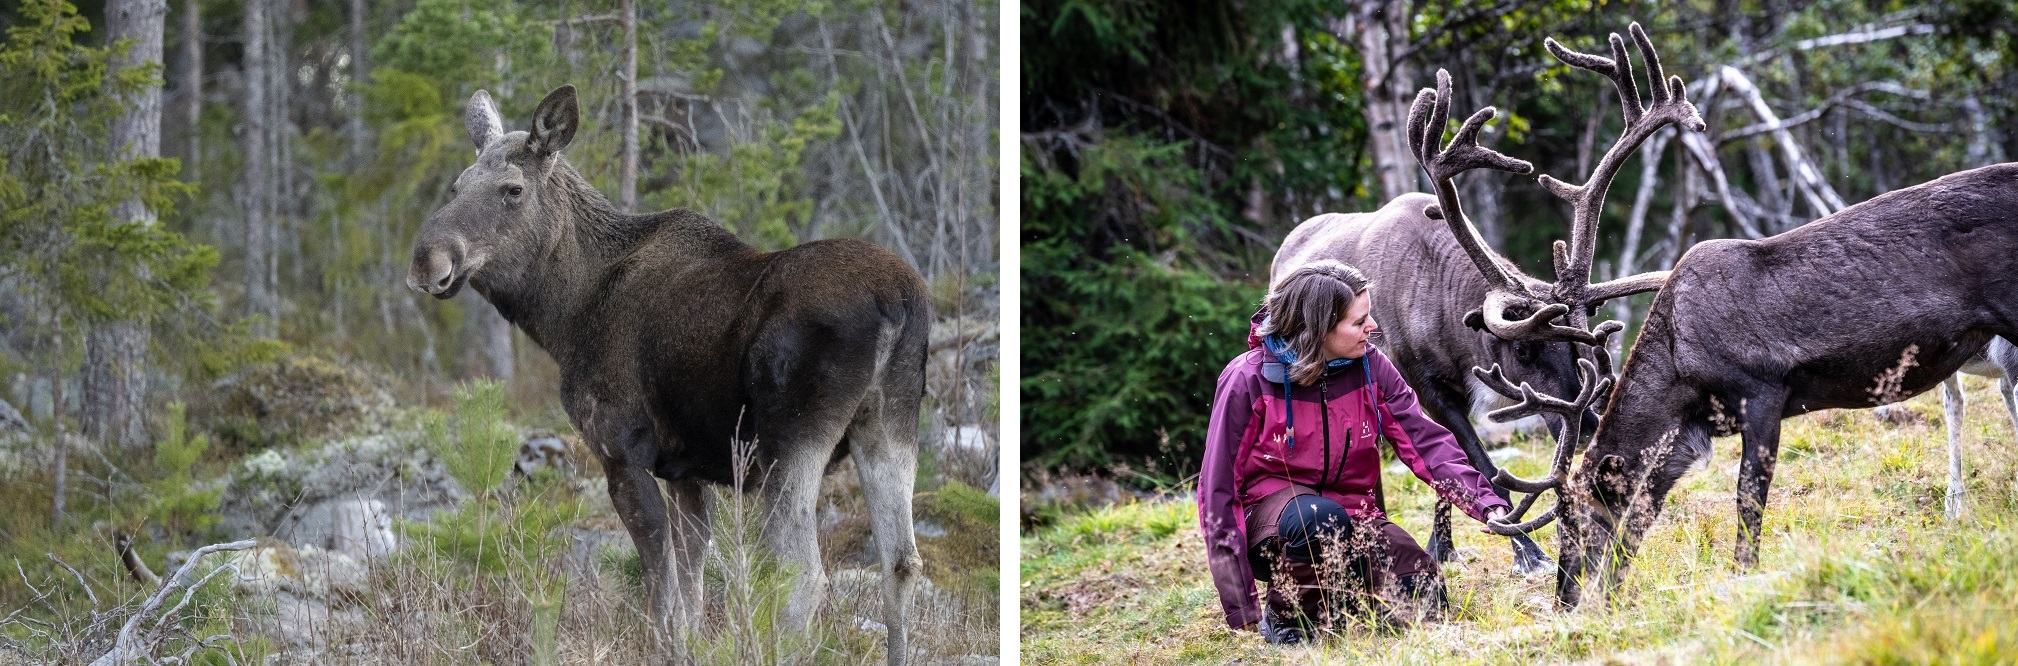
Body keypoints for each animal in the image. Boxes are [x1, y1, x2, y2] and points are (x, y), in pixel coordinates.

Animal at [409, 85, 928, 661]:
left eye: (513, 189)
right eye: (457, 185)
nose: (427, 258)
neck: (565, 314)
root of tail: (898, 304)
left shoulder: (621, 451)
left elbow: (662, 589)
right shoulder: (689, 471)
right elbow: (693, 587)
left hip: (791, 440)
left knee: (803, 576)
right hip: (890, 423)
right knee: (901, 563)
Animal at [1412, 23, 2018, 609]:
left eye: (1577, 519)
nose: (1565, 597)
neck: (1682, 373)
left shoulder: (1764, 390)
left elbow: (1747, 506)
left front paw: (1742, 577)